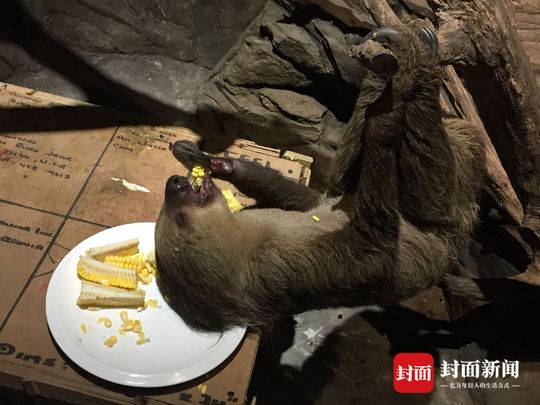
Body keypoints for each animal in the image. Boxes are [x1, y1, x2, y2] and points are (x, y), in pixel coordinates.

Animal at [154, 23, 486, 332]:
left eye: (172, 210)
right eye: (178, 218)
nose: (174, 184)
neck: (259, 236)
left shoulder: (302, 214)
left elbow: (305, 197)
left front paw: (210, 160)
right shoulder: (305, 264)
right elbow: (377, 243)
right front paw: (384, 119)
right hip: (444, 210)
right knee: (428, 169)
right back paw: (408, 67)